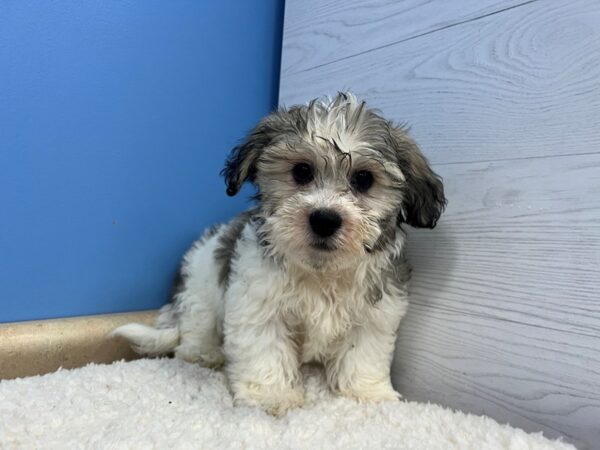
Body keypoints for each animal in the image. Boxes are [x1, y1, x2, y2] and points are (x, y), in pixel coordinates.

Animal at [115, 93, 448, 416]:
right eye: (302, 171)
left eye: (364, 179)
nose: (324, 219)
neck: (321, 271)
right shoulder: (258, 307)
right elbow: (266, 352)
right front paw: (271, 396)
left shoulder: (374, 315)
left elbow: (362, 354)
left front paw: (368, 394)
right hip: (201, 288)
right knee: (195, 329)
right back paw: (204, 354)